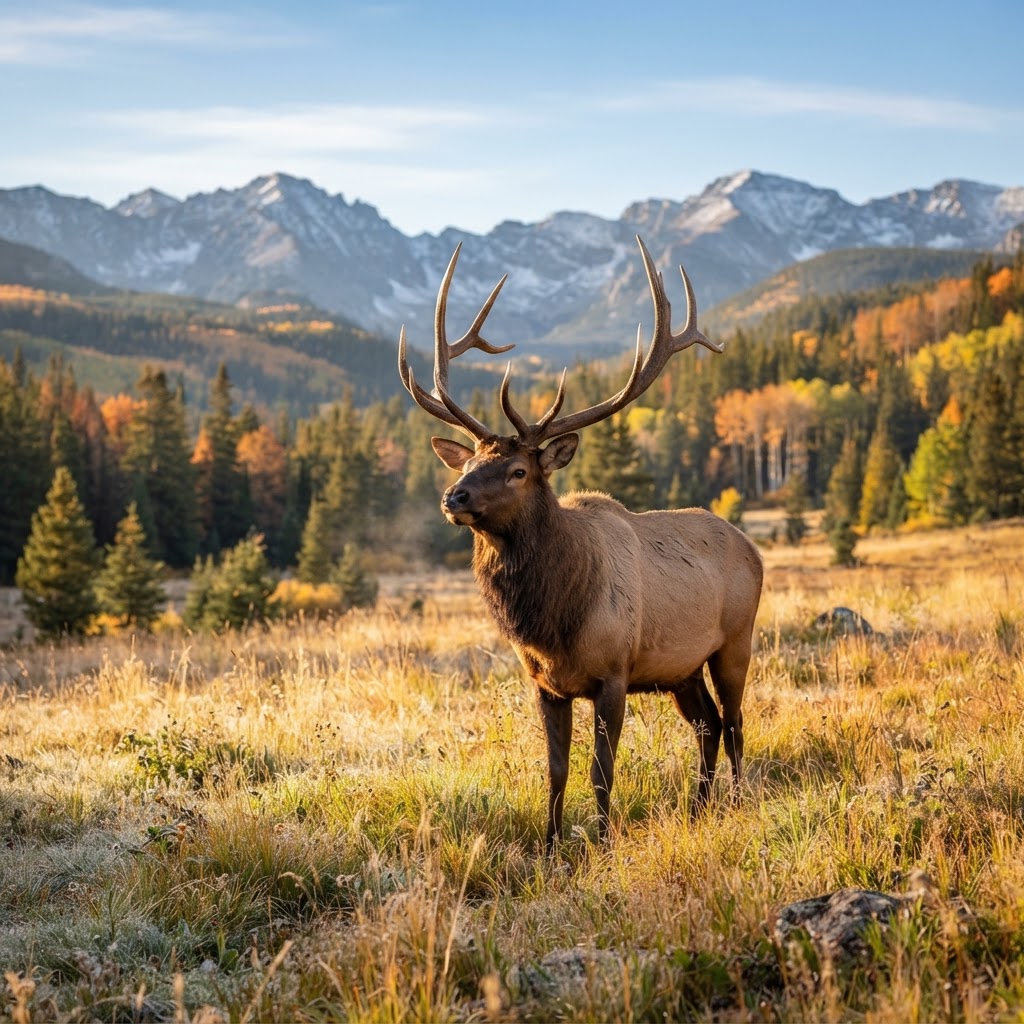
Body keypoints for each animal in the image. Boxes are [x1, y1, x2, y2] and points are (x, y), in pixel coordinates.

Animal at [398, 236, 763, 851]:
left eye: (519, 470)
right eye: (468, 462)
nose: (454, 496)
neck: (552, 622)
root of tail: (753, 548)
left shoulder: (613, 675)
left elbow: (600, 770)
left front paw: (604, 841)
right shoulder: (545, 684)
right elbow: (556, 769)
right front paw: (548, 847)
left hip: (734, 641)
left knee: (735, 722)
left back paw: (736, 802)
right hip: (680, 668)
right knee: (708, 724)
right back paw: (699, 806)